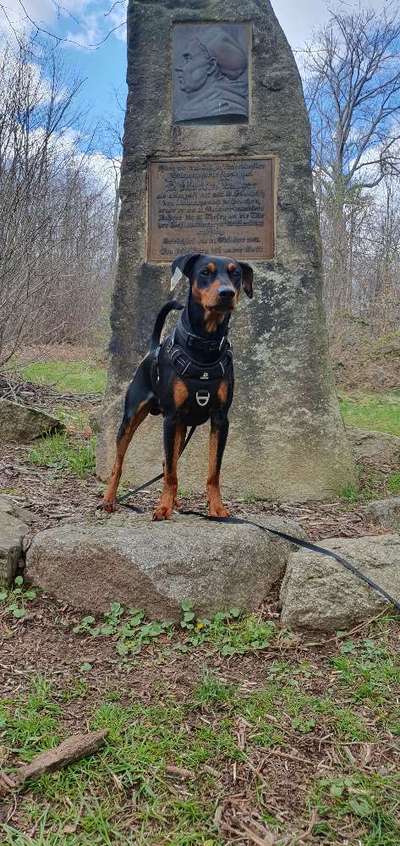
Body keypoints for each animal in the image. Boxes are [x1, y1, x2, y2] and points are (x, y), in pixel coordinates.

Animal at [103, 252, 253, 520]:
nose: (227, 293)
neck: (204, 346)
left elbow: (213, 471)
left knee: (167, 462)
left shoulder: (220, 419)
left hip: (182, 426)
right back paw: (110, 499)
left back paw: (176, 502)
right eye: (205, 272)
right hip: (132, 418)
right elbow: (171, 471)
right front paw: (163, 508)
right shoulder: (170, 418)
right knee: (120, 463)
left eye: (235, 273)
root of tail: (152, 350)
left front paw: (217, 508)